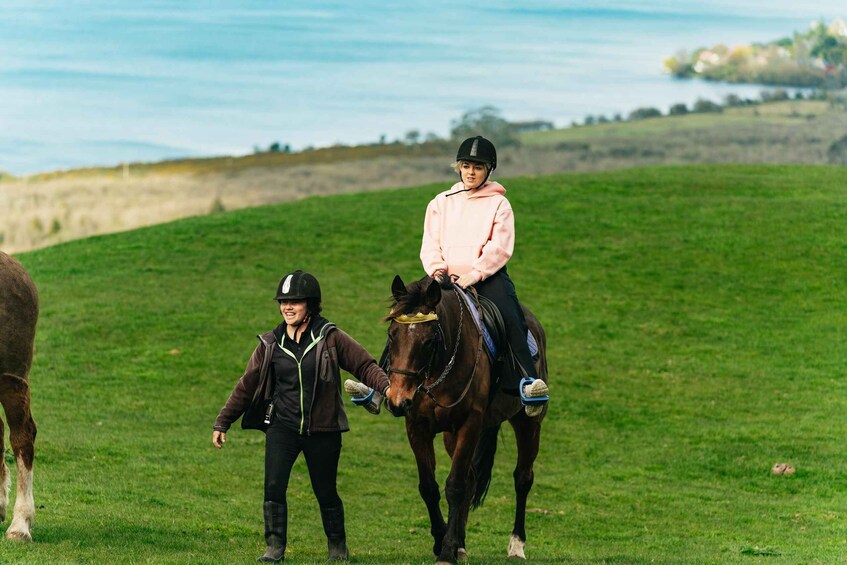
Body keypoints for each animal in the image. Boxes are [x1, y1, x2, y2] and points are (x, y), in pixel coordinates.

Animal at [382, 274, 548, 564]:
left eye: (430, 340)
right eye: (392, 335)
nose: (398, 400)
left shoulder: (469, 424)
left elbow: (455, 486)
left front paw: (447, 551)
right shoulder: (417, 427)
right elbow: (429, 487)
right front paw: (443, 541)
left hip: (528, 423)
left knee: (522, 478)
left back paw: (516, 545)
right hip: (451, 434)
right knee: (471, 478)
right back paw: (461, 542)